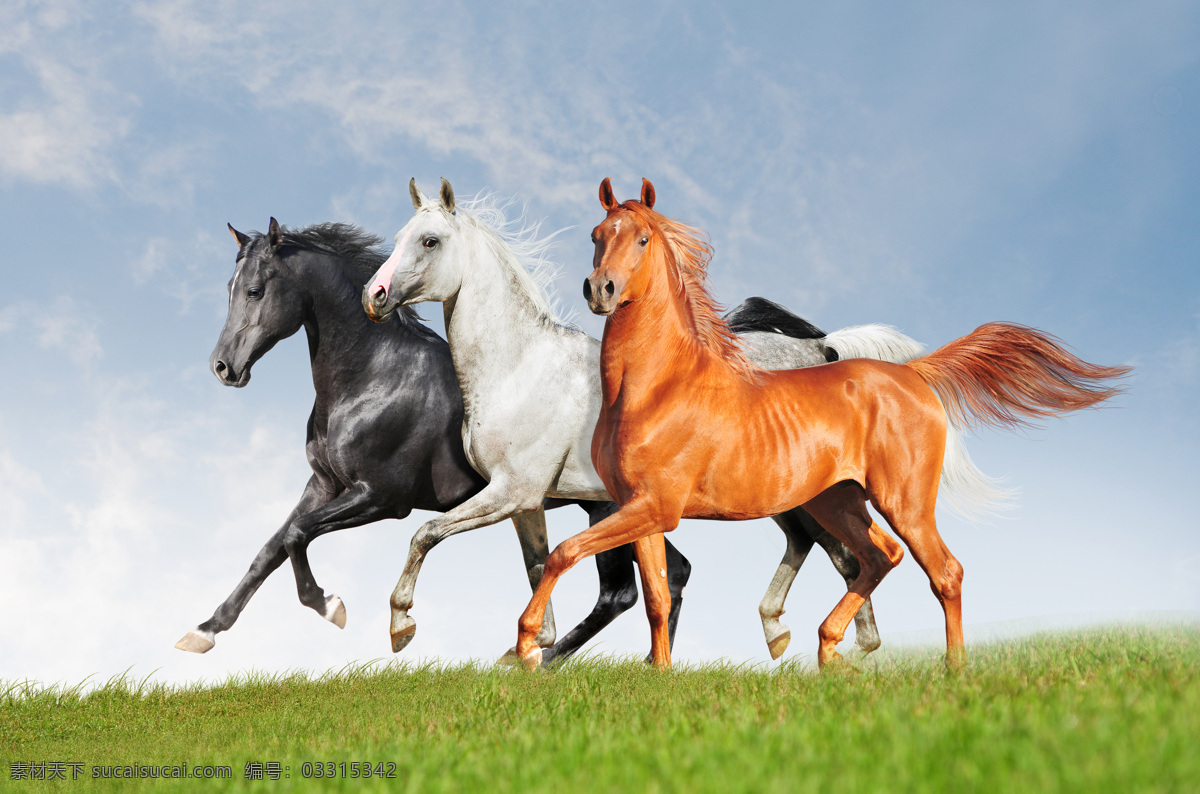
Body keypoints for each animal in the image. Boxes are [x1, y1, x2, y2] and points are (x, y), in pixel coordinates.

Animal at [176, 219, 688, 661]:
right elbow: (271, 549)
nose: (223, 367)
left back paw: (541, 659)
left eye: (255, 290)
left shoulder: (382, 497)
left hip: (604, 506)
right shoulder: (323, 484)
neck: (374, 376)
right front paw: (203, 631)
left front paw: (330, 605)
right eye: (229, 288)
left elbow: (298, 535)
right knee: (671, 572)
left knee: (620, 592)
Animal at [362, 180, 948, 662]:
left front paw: (401, 626)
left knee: (846, 556)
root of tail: (821, 350)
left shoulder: (510, 491)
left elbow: (425, 534)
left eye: (430, 241)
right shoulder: (526, 502)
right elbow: (536, 567)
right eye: (401, 236)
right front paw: (528, 651)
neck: (519, 365)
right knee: (829, 551)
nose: (375, 296)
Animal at [511, 178, 1130, 671]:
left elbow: (564, 553)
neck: (658, 387)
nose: (600, 290)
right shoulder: (642, 510)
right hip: (838, 500)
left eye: (641, 238)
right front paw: (659, 677)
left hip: (902, 501)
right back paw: (828, 649)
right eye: (596, 234)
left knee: (942, 570)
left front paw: (525, 647)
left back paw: (951, 670)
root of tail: (911, 374)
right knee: (877, 557)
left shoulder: (654, 507)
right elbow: (659, 598)